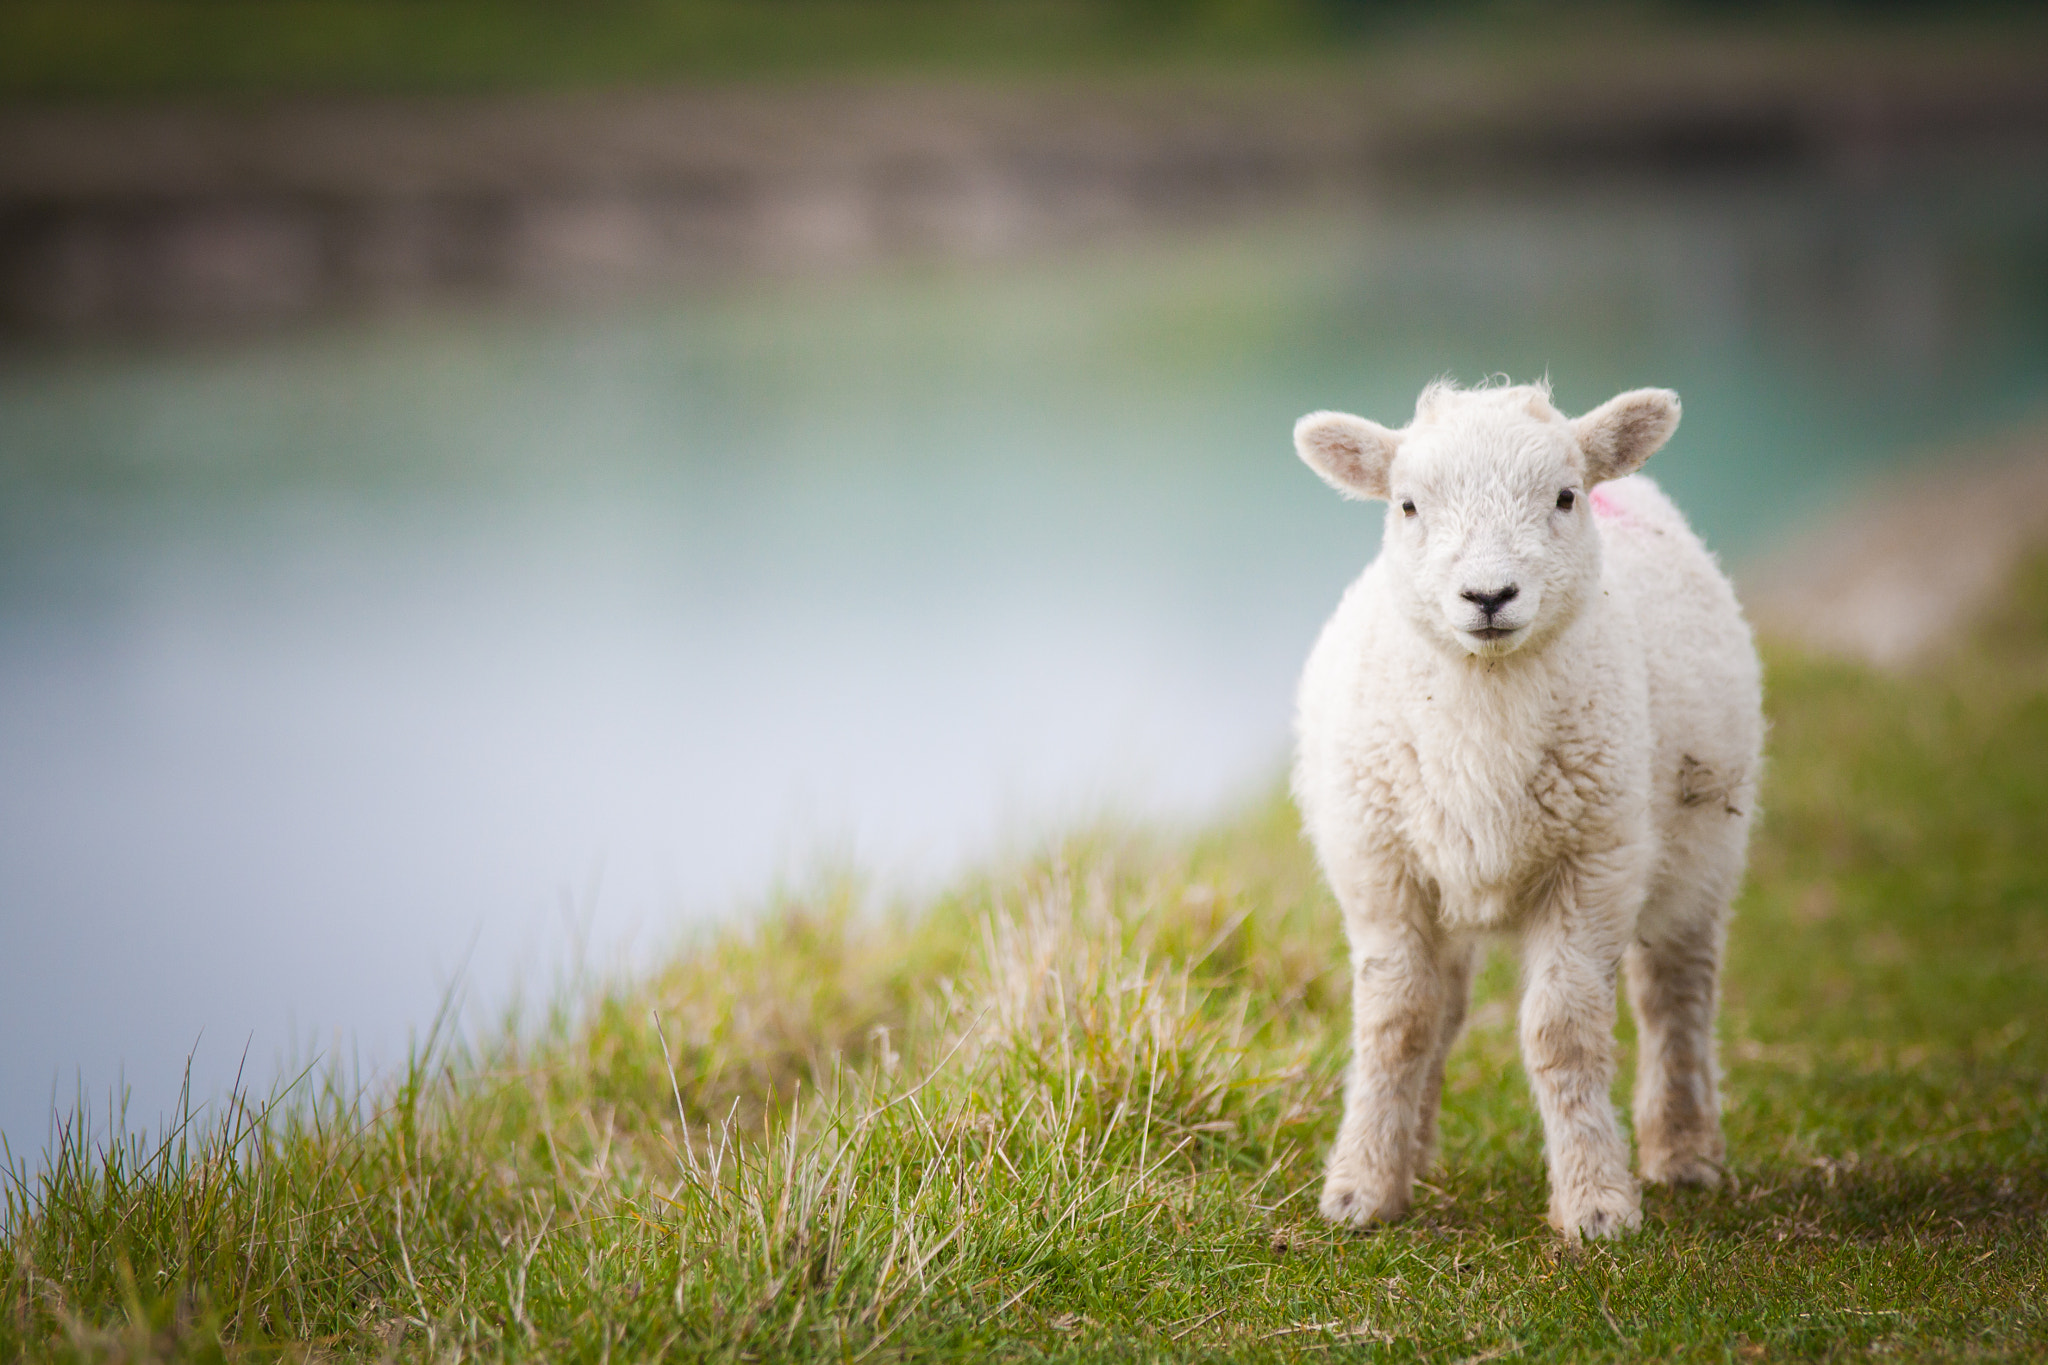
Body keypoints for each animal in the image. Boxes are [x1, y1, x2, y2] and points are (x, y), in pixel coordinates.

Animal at [1290, 378, 1762, 1240]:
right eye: (1408, 505)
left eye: (1565, 496)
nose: (1488, 595)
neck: (1481, 718)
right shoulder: (1381, 867)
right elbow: (1397, 1024)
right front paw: (1363, 1187)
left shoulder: (1594, 863)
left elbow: (1563, 1032)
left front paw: (1596, 1201)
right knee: (1443, 1007)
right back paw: (1415, 1151)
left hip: (1704, 842)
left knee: (1677, 992)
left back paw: (1683, 1152)